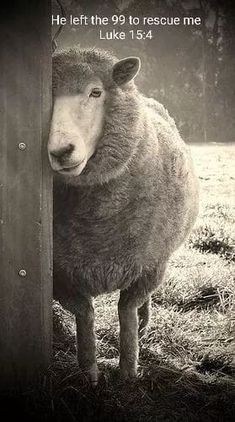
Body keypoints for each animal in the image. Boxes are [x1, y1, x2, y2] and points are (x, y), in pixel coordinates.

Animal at [48, 47, 199, 386]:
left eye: (96, 92)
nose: (60, 151)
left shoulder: (149, 264)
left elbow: (126, 312)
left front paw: (129, 372)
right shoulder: (61, 274)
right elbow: (85, 314)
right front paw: (89, 373)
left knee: (143, 303)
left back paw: (145, 321)